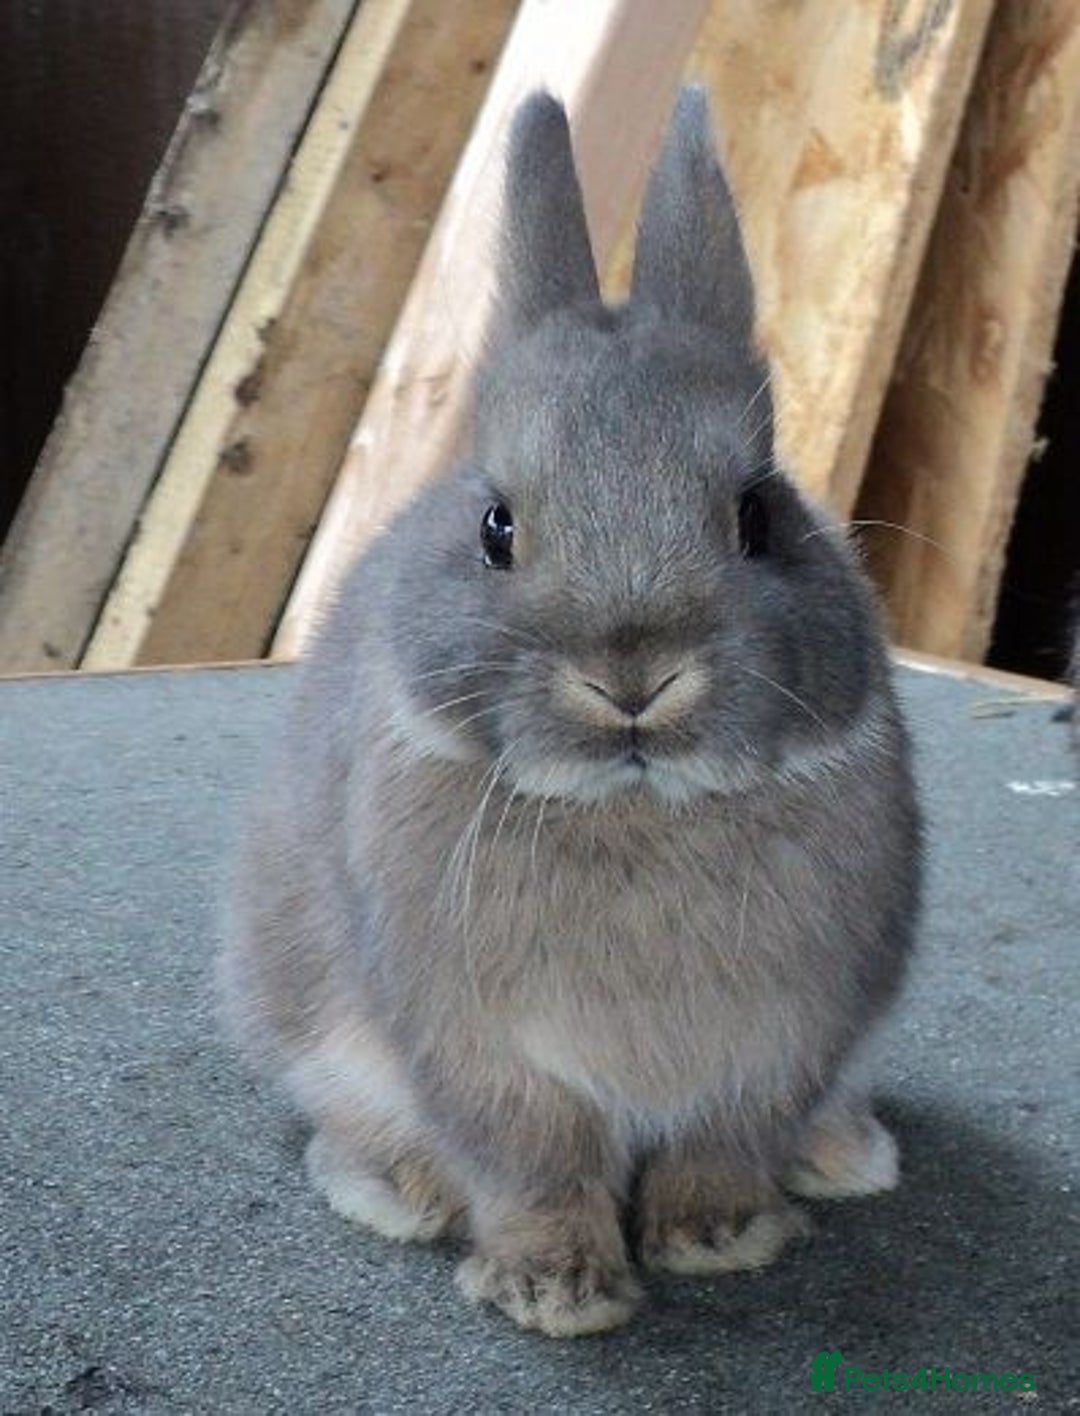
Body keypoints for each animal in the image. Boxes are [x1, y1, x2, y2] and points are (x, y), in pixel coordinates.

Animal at [219, 87, 922, 1338]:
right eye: (497, 525)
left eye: (757, 515)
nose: (633, 677)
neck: (635, 809)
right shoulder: (482, 1059)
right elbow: (534, 1167)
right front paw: (556, 1293)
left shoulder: (779, 1043)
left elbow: (722, 1145)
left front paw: (718, 1240)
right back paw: (395, 1192)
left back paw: (845, 1158)